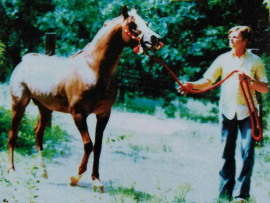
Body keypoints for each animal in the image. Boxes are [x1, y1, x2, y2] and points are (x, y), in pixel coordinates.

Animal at [7, 5, 161, 193]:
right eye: (132, 25)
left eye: (146, 22)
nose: (155, 39)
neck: (93, 69)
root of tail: (23, 61)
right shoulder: (79, 114)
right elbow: (89, 144)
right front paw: (75, 178)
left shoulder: (103, 114)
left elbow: (98, 146)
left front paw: (96, 180)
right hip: (19, 103)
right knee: (13, 135)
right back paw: (12, 173)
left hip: (45, 109)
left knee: (38, 134)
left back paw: (43, 173)